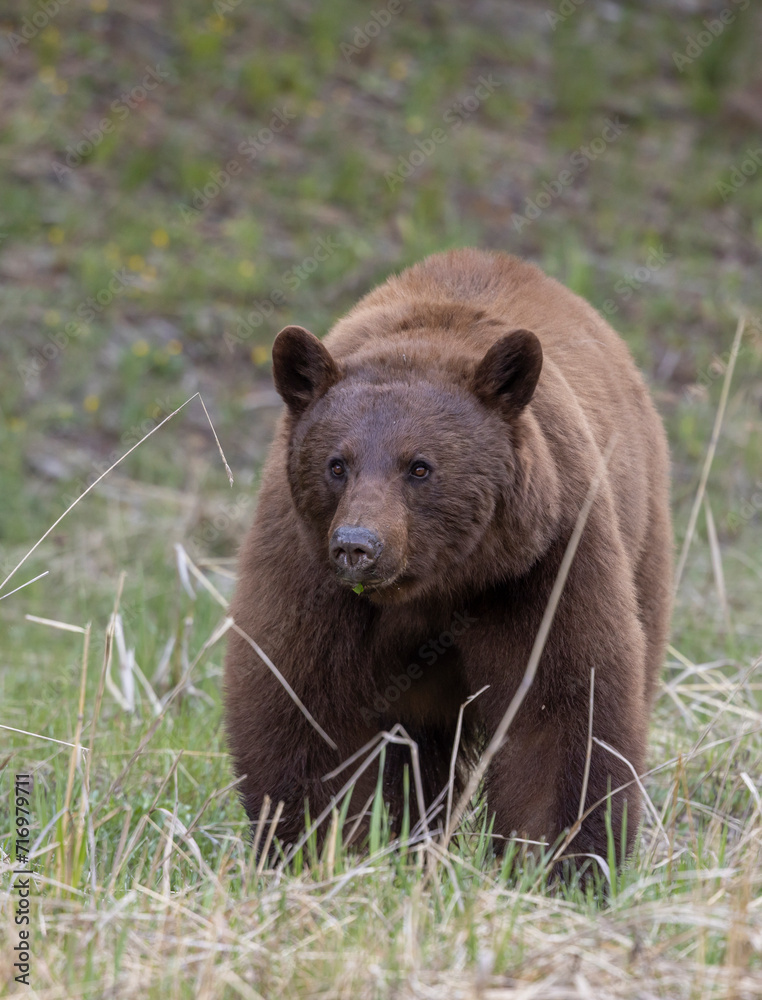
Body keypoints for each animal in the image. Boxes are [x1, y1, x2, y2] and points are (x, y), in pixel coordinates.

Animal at [221, 250, 672, 876]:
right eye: (337, 464)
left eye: (420, 466)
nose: (357, 545)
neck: (433, 585)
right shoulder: (305, 567)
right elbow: (301, 698)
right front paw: (317, 851)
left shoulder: (543, 561)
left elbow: (561, 709)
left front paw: (562, 865)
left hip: (643, 540)